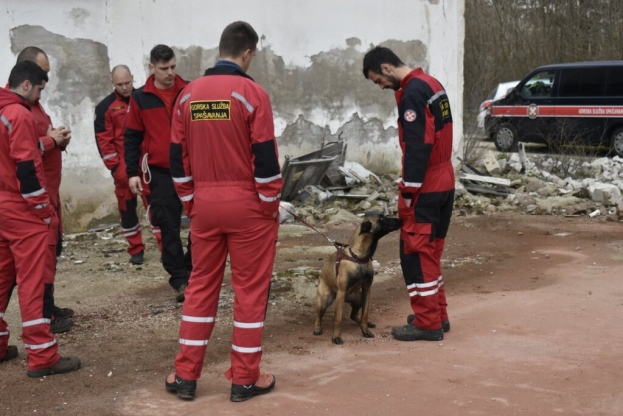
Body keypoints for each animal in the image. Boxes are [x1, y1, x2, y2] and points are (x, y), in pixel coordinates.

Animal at [314, 213, 402, 342]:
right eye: (381, 218)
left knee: (353, 315)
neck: (359, 256)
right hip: (325, 300)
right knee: (318, 316)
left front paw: (365, 331)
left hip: (358, 298)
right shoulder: (341, 292)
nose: (400, 219)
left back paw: (364, 323)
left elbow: (365, 314)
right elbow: (338, 318)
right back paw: (317, 328)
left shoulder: (366, 290)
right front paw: (336, 336)